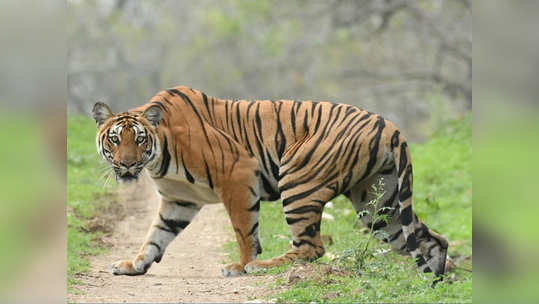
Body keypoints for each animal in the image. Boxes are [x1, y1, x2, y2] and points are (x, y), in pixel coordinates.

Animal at [92, 85, 448, 280]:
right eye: (114, 139)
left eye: (139, 139)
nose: (126, 164)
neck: (158, 155)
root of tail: (389, 125)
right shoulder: (179, 200)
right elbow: (155, 236)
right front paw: (134, 265)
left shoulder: (238, 174)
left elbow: (244, 231)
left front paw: (241, 265)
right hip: (378, 204)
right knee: (432, 240)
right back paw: (431, 283)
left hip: (299, 181)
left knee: (311, 247)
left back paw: (262, 267)